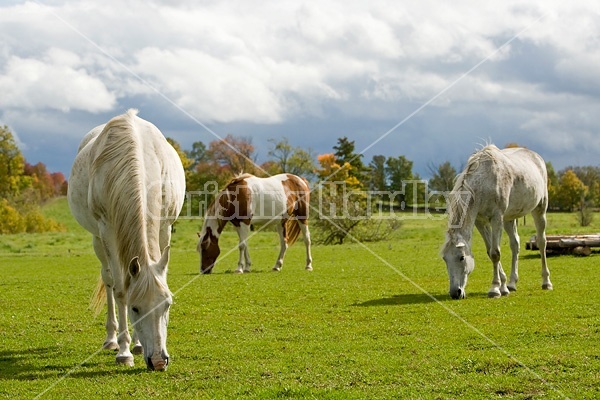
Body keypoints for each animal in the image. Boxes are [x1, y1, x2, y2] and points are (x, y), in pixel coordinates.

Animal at [68, 108, 185, 368]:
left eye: (167, 304)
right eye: (135, 308)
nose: (158, 361)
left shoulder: (165, 227)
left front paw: (137, 346)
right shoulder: (107, 229)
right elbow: (121, 289)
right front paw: (124, 351)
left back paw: (139, 345)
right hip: (97, 240)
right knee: (109, 280)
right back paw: (112, 339)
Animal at [440, 145, 552, 298]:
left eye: (461, 257)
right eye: (445, 259)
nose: (455, 293)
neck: (484, 183)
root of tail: (536, 157)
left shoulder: (496, 218)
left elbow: (495, 253)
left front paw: (494, 289)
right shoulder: (480, 222)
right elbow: (490, 251)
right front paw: (503, 287)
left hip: (540, 209)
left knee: (541, 242)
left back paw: (546, 282)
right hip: (509, 218)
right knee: (515, 244)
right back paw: (512, 283)